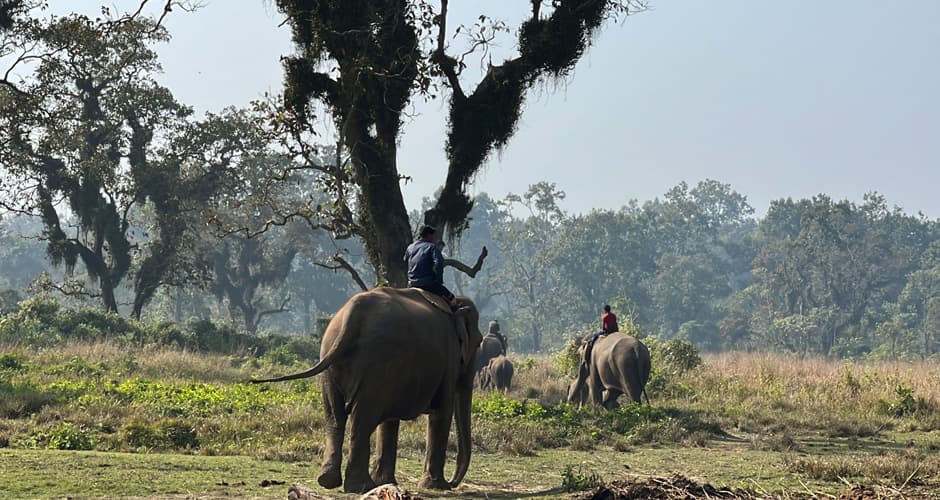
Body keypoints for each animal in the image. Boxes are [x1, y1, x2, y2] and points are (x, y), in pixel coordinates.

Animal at [250, 288, 482, 494]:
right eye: (479, 342)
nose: (453, 483)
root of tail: (352, 314)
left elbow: (390, 420)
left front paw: (389, 482)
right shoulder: (449, 360)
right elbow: (441, 412)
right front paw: (435, 486)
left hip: (331, 364)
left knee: (335, 417)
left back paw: (329, 480)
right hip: (377, 363)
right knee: (362, 420)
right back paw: (362, 487)